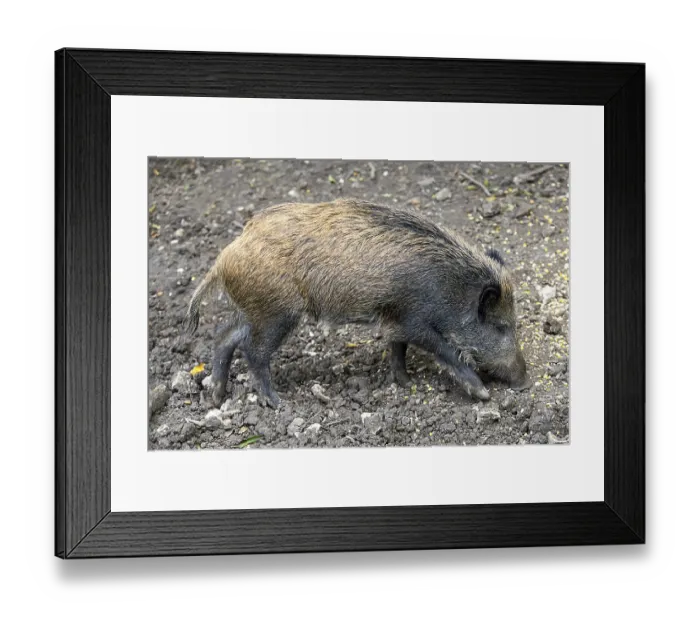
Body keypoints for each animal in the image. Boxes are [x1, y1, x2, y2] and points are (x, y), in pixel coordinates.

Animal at [187, 199, 531, 408]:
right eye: (501, 326)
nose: (525, 382)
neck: (449, 286)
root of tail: (223, 258)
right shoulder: (413, 318)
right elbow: (443, 349)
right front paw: (482, 394)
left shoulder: (395, 318)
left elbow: (397, 349)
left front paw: (405, 383)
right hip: (277, 313)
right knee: (252, 351)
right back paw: (277, 401)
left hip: (255, 310)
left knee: (224, 335)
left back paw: (216, 396)